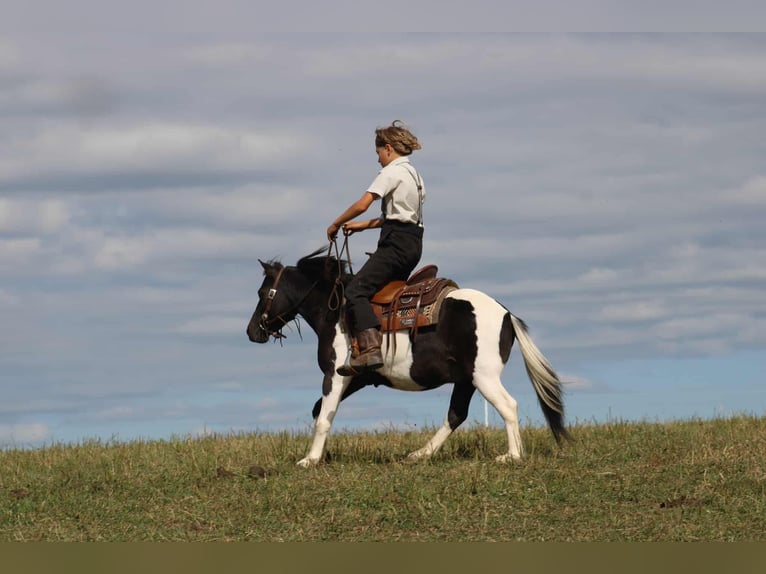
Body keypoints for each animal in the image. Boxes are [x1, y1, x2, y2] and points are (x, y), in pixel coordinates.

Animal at [246, 246, 571, 467]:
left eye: (262, 293)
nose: (252, 332)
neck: (335, 311)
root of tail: (505, 313)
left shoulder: (334, 375)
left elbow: (325, 415)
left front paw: (309, 460)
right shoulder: (356, 377)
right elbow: (320, 411)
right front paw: (320, 455)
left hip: (484, 377)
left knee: (507, 406)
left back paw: (512, 455)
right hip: (466, 380)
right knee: (456, 415)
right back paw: (419, 454)